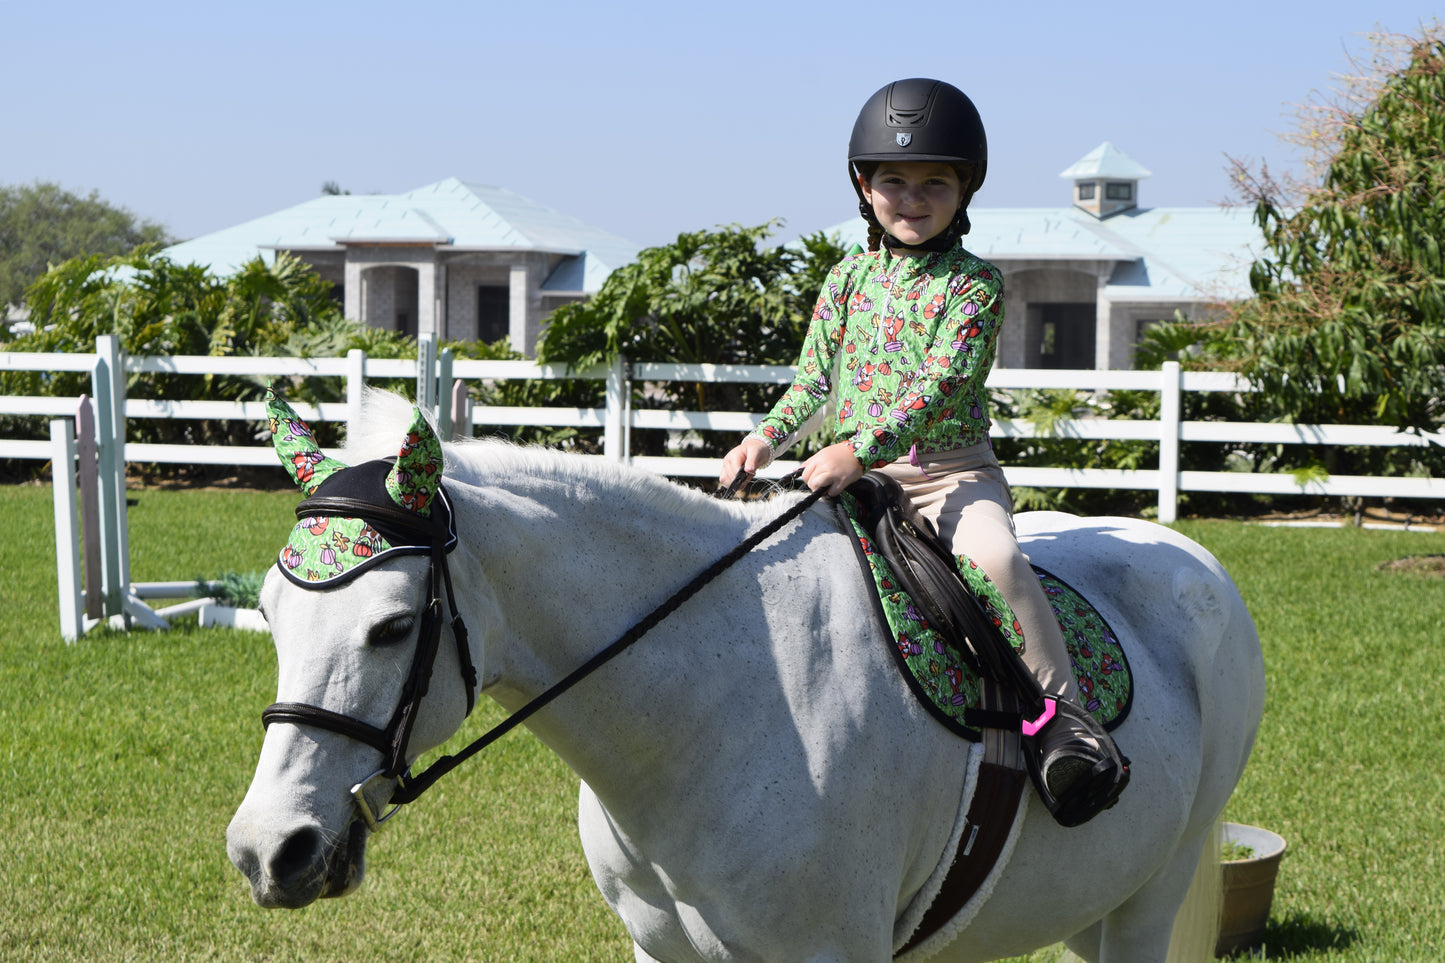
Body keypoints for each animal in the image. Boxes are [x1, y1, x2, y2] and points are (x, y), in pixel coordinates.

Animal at [225, 393, 1265, 960]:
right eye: (269, 616)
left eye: (392, 625)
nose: (268, 850)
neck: (707, 712)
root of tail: (1192, 557)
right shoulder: (661, 948)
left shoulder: (828, 950)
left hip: (1157, 889)